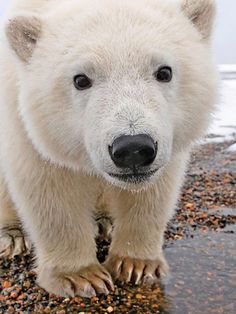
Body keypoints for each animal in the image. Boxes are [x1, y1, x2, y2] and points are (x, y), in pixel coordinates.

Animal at [0, 0, 218, 296]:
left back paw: (104, 221)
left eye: (164, 71)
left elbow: (153, 193)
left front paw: (136, 263)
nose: (133, 148)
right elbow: (50, 190)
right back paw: (12, 235)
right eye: (81, 79)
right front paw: (80, 275)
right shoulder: (25, 126)